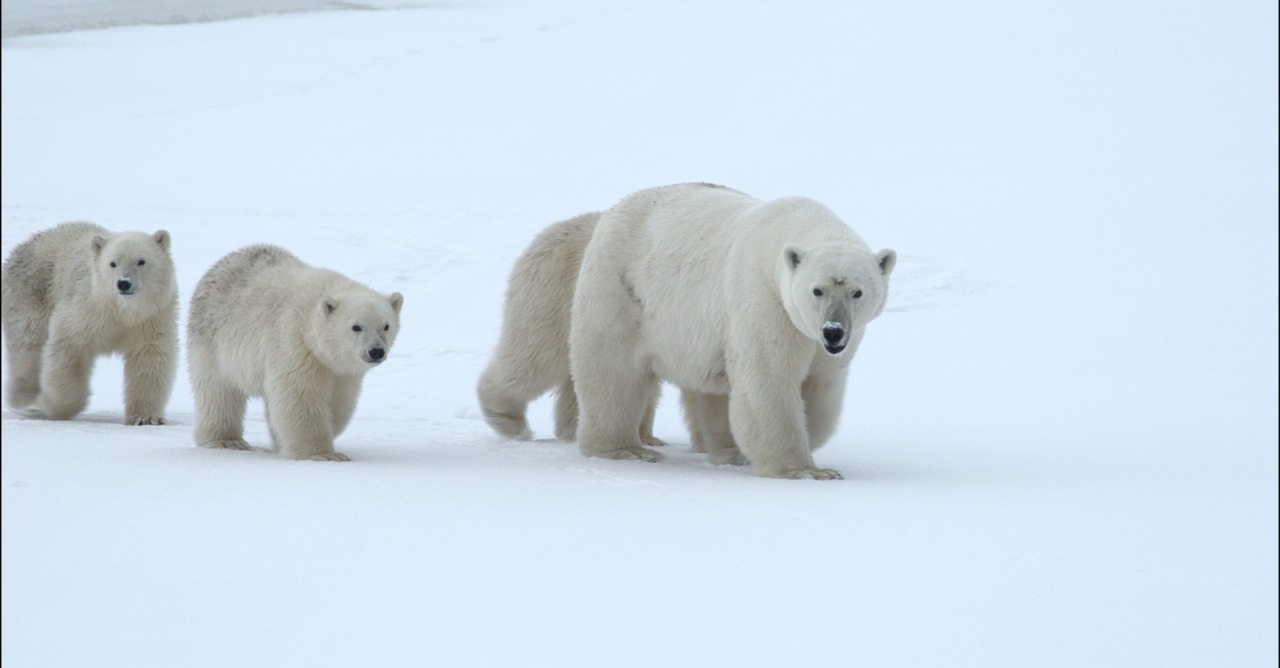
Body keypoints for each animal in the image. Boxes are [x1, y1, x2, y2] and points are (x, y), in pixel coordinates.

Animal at [0, 221, 181, 424]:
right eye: (112, 263)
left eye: (141, 261)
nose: (124, 283)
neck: (122, 310)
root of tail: (23, 245)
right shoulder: (88, 308)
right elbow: (68, 348)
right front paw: (54, 406)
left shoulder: (152, 316)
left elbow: (149, 357)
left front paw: (145, 418)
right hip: (31, 291)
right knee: (28, 347)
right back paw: (26, 401)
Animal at [185, 243, 401, 458]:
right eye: (356, 326)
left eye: (386, 326)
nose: (376, 351)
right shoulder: (296, 345)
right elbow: (300, 396)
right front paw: (323, 454)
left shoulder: (340, 371)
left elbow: (339, 402)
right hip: (212, 341)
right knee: (218, 392)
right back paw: (225, 440)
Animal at [576, 181, 896, 478]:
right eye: (817, 290)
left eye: (857, 292)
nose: (833, 331)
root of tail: (617, 208)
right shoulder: (765, 298)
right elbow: (770, 377)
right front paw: (804, 470)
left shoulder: (826, 343)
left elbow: (820, 384)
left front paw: (809, 438)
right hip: (622, 290)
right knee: (613, 371)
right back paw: (624, 449)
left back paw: (724, 450)